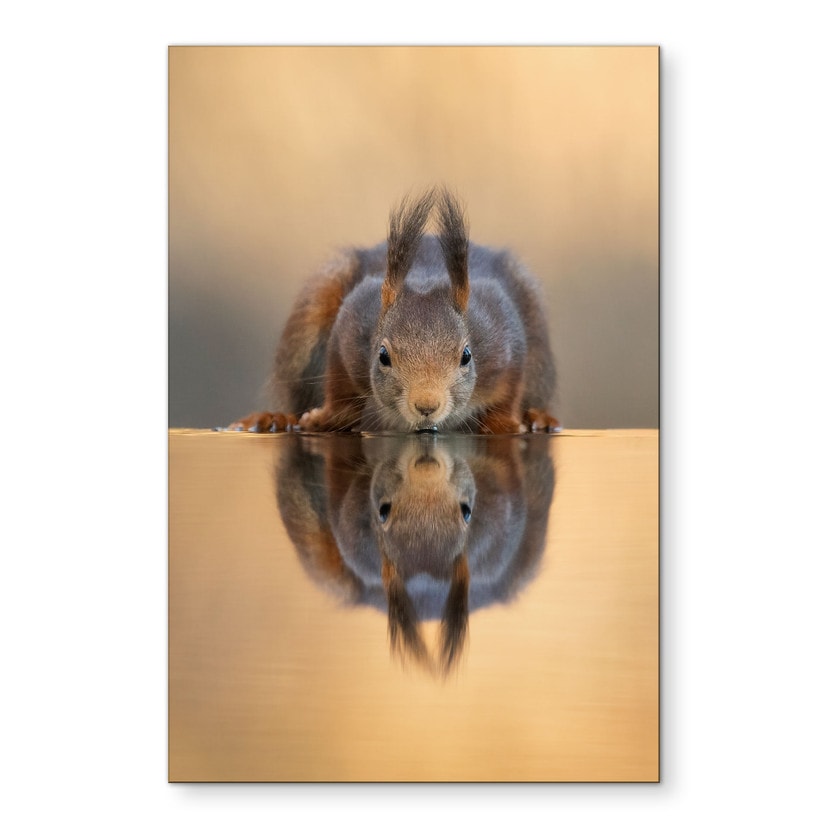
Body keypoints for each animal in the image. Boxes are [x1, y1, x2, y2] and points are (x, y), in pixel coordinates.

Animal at [229, 188, 559, 434]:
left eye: (466, 356)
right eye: (383, 356)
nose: (426, 406)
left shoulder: (503, 334)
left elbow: (510, 391)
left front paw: (505, 423)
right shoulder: (352, 325)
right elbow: (339, 387)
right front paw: (326, 417)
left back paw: (538, 418)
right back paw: (275, 419)